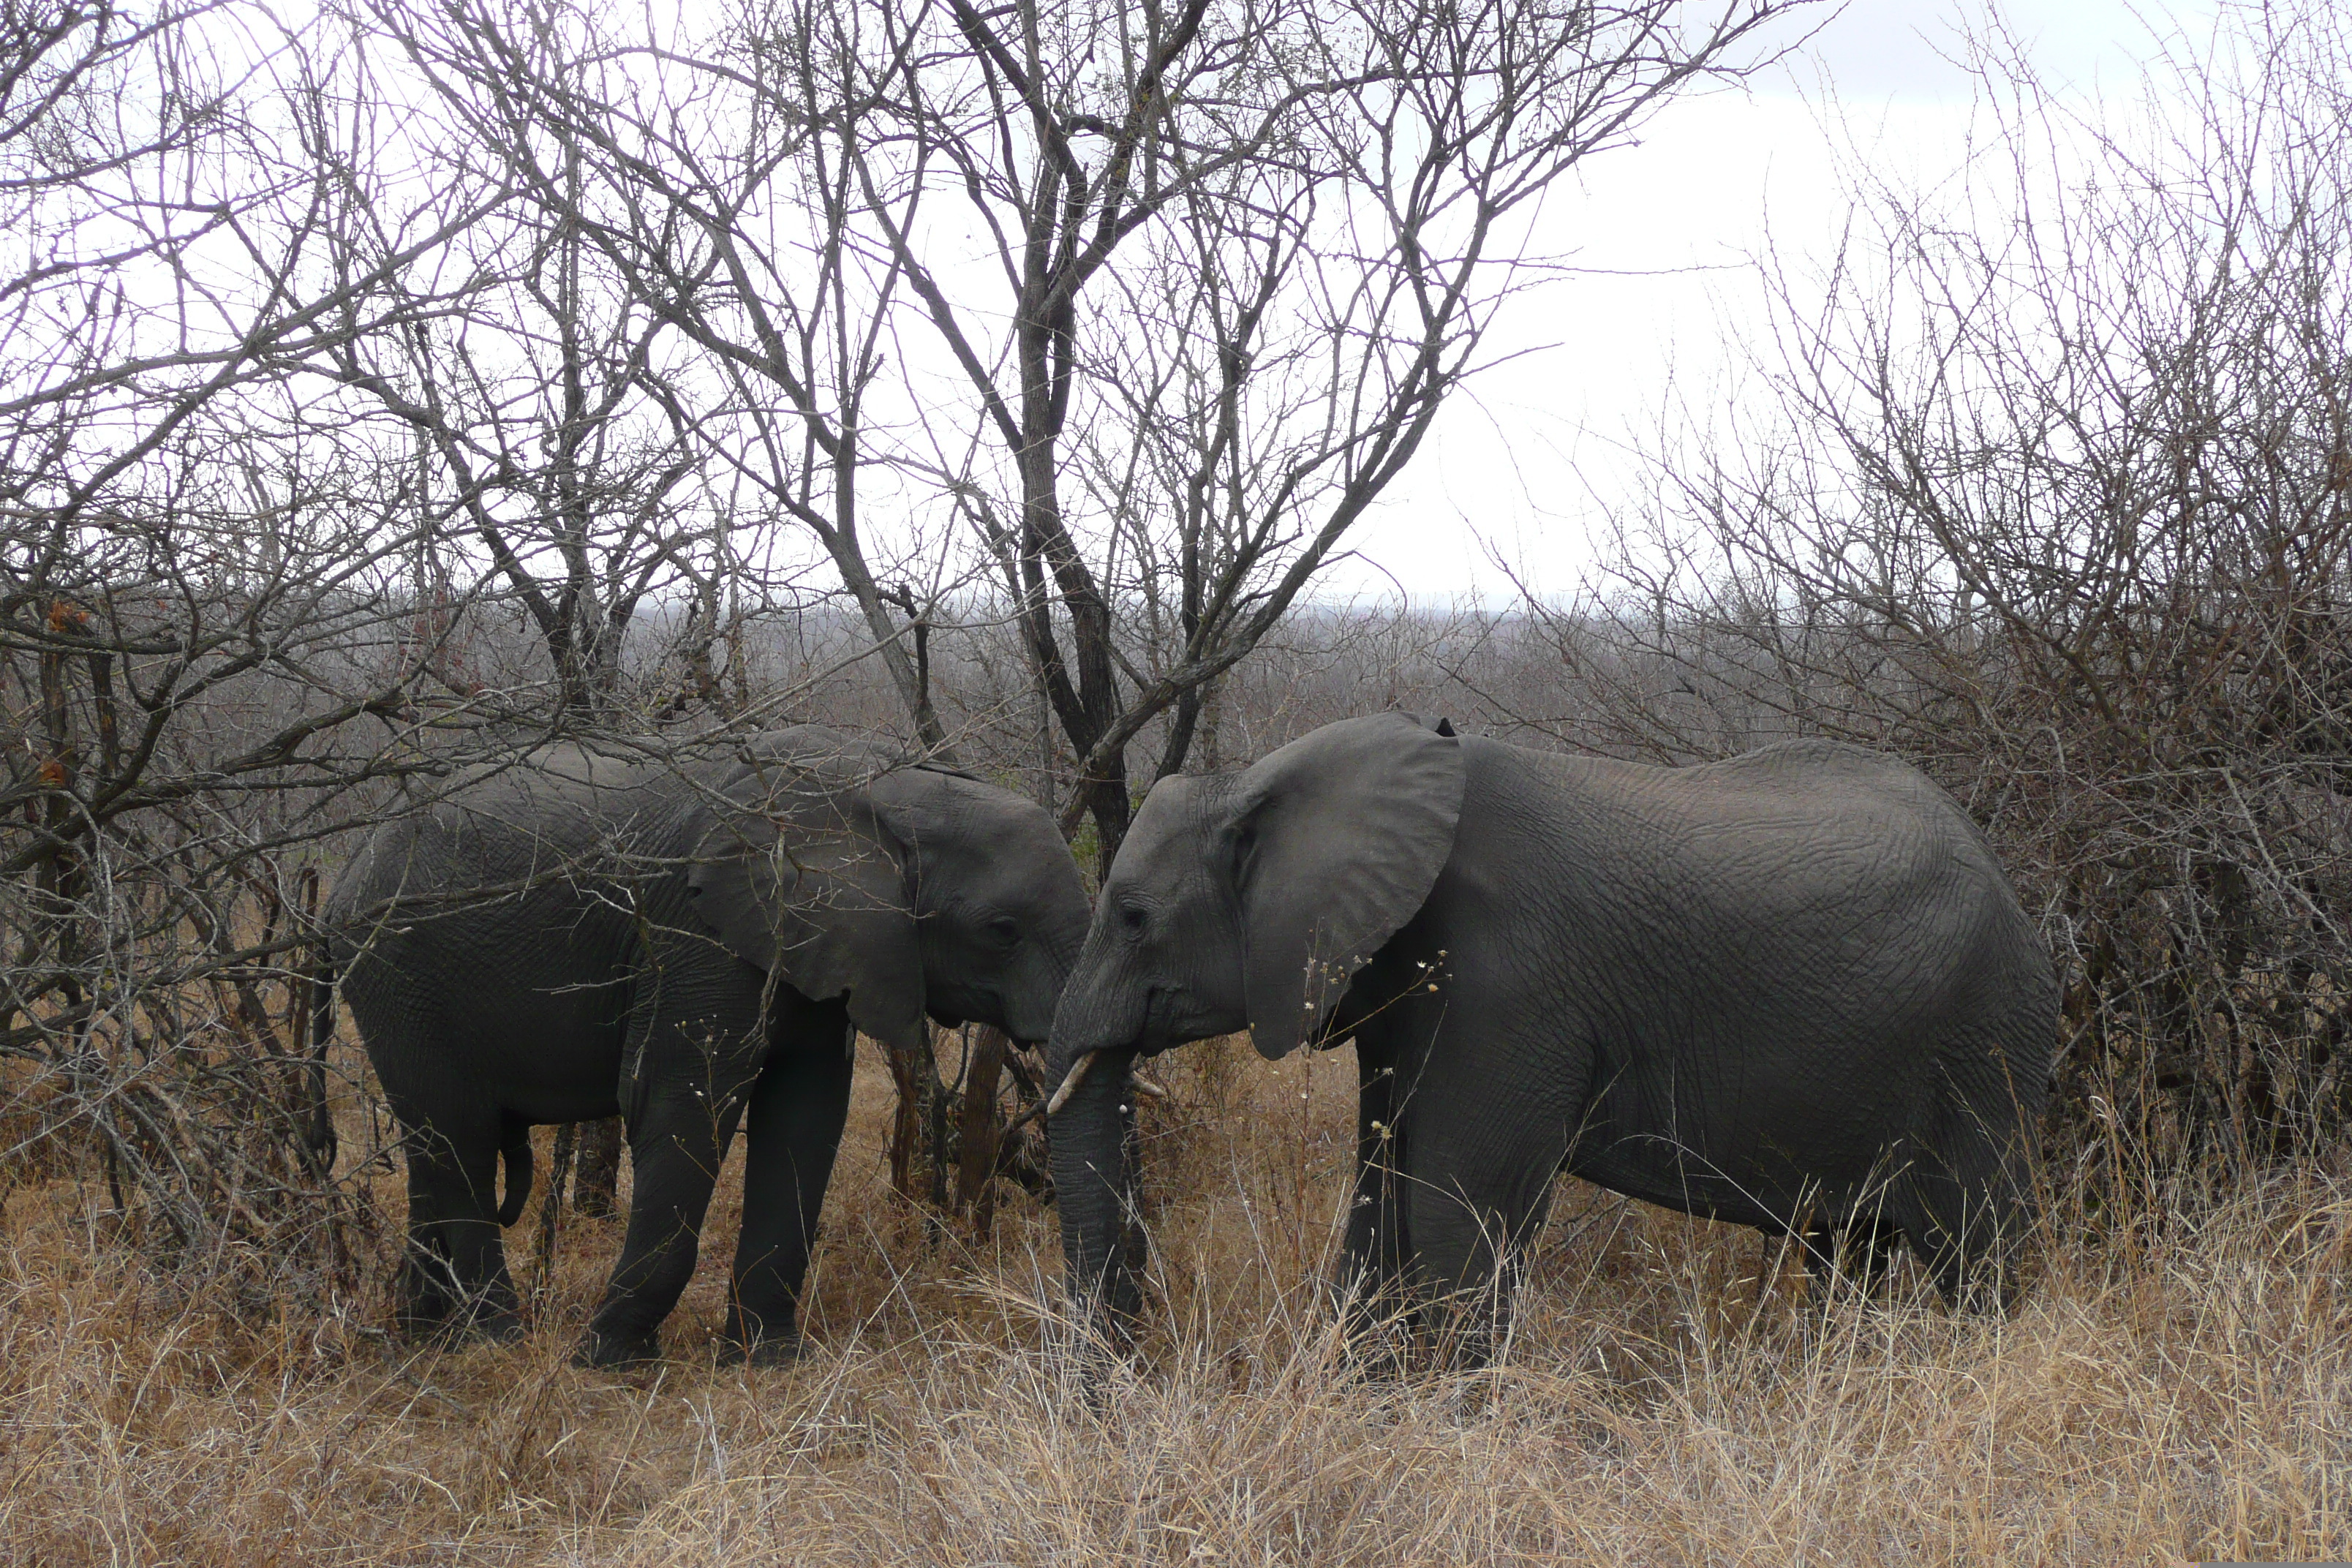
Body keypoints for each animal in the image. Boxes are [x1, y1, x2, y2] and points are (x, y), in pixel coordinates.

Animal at [327, 728, 1086, 1363]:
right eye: (1002, 929)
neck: (880, 787)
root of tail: (351, 865)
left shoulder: (823, 948)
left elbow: (805, 1118)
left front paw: (770, 1359)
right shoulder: (699, 941)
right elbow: (680, 1109)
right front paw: (610, 1361)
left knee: (434, 1149)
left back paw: (427, 1342)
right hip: (397, 972)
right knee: (458, 1137)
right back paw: (498, 1345)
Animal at [1049, 715, 2060, 1363]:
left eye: (1133, 916)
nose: (1129, 1367)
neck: (1274, 781)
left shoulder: (1509, 987)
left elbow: (1462, 1213)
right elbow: (1380, 1194)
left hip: (1987, 1042)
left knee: (1975, 1248)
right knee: (1850, 1245)